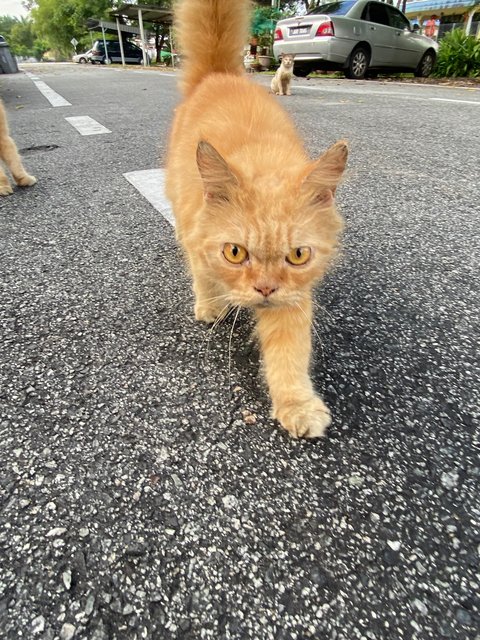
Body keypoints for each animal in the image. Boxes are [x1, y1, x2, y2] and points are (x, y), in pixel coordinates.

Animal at [167, 0, 346, 438]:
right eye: (235, 253)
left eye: (297, 256)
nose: (265, 289)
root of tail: (221, 74)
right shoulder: (198, 241)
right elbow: (203, 275)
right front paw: (210, 307)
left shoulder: (293, 298)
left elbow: (288, 354)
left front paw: (297, 405)